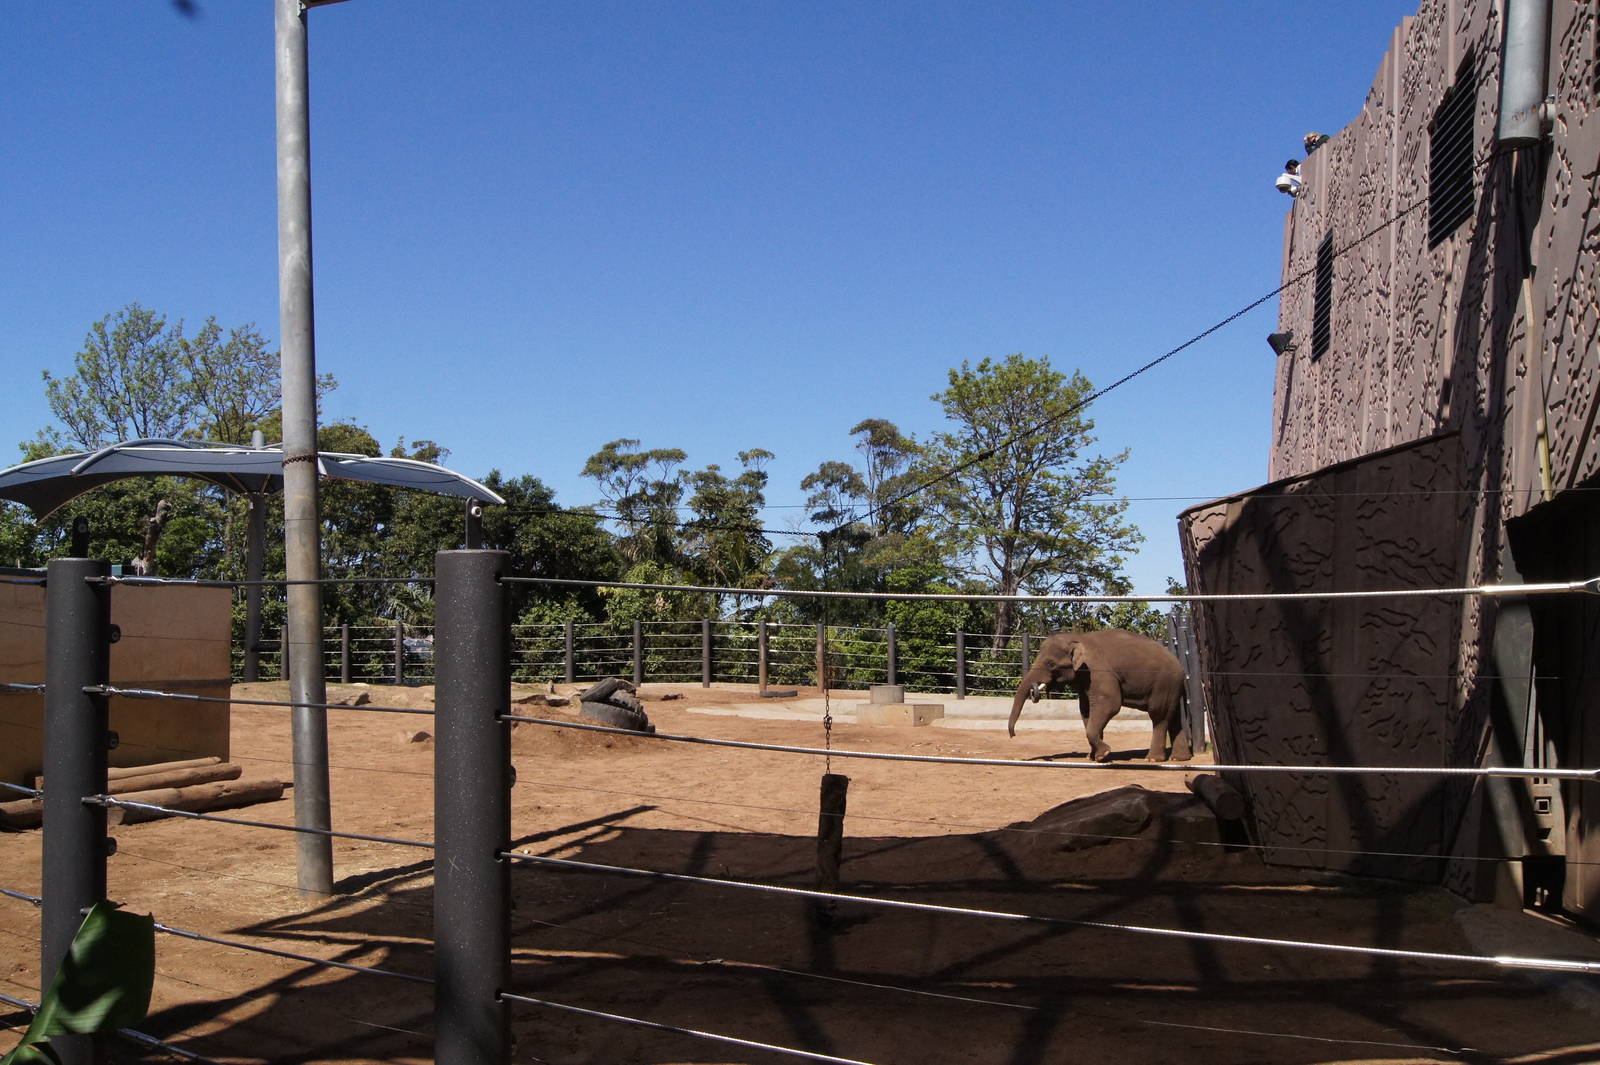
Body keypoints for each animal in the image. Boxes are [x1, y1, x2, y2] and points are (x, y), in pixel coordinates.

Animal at [1008, 629, 1192, 763]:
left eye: (1051, 664)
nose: (1013, 735)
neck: (1078, 637)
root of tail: (1180, 664)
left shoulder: (1098, 671)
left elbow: (1110, 705)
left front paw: (1104, 754)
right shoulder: (1086, 679)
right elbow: (1086, 710)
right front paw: (1093, 757)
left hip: (1164, 683)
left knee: (1159, 716)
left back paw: (1153, 759)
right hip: (1172, 686)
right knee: (1174, 716)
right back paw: (1179, 759)